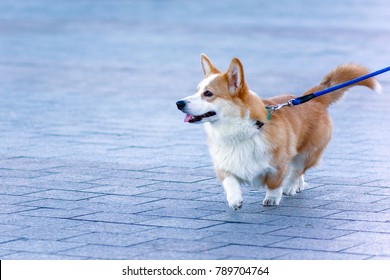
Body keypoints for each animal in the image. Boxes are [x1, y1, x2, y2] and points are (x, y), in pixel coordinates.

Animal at [177, 54, 380, 210]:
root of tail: (315, 100)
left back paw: (291, 187)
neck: (239, 132)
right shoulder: (225, 165)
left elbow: (275, 183)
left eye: (208, 93)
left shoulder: (278, 164)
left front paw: (272, 198)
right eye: (197, 91)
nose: (179, 103)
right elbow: (230, 181)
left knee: (297, 169)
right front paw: (235, 200)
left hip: (308, 153)